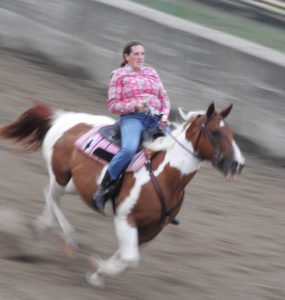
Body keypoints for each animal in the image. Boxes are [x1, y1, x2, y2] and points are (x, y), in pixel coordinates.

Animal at [0, 101, 244, 286]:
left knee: (49, 194)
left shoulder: (152, 229)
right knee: (52, 196)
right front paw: (97, 267)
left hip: (75, 184)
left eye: (232, 134)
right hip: (60, 176)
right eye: (215, 132)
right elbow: (130, 257)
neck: (164, 176)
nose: (238, 165)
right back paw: (66, 237)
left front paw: (97, 274)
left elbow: (127, 257)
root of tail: (61, 117)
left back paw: (41, 227)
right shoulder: (125, 219)